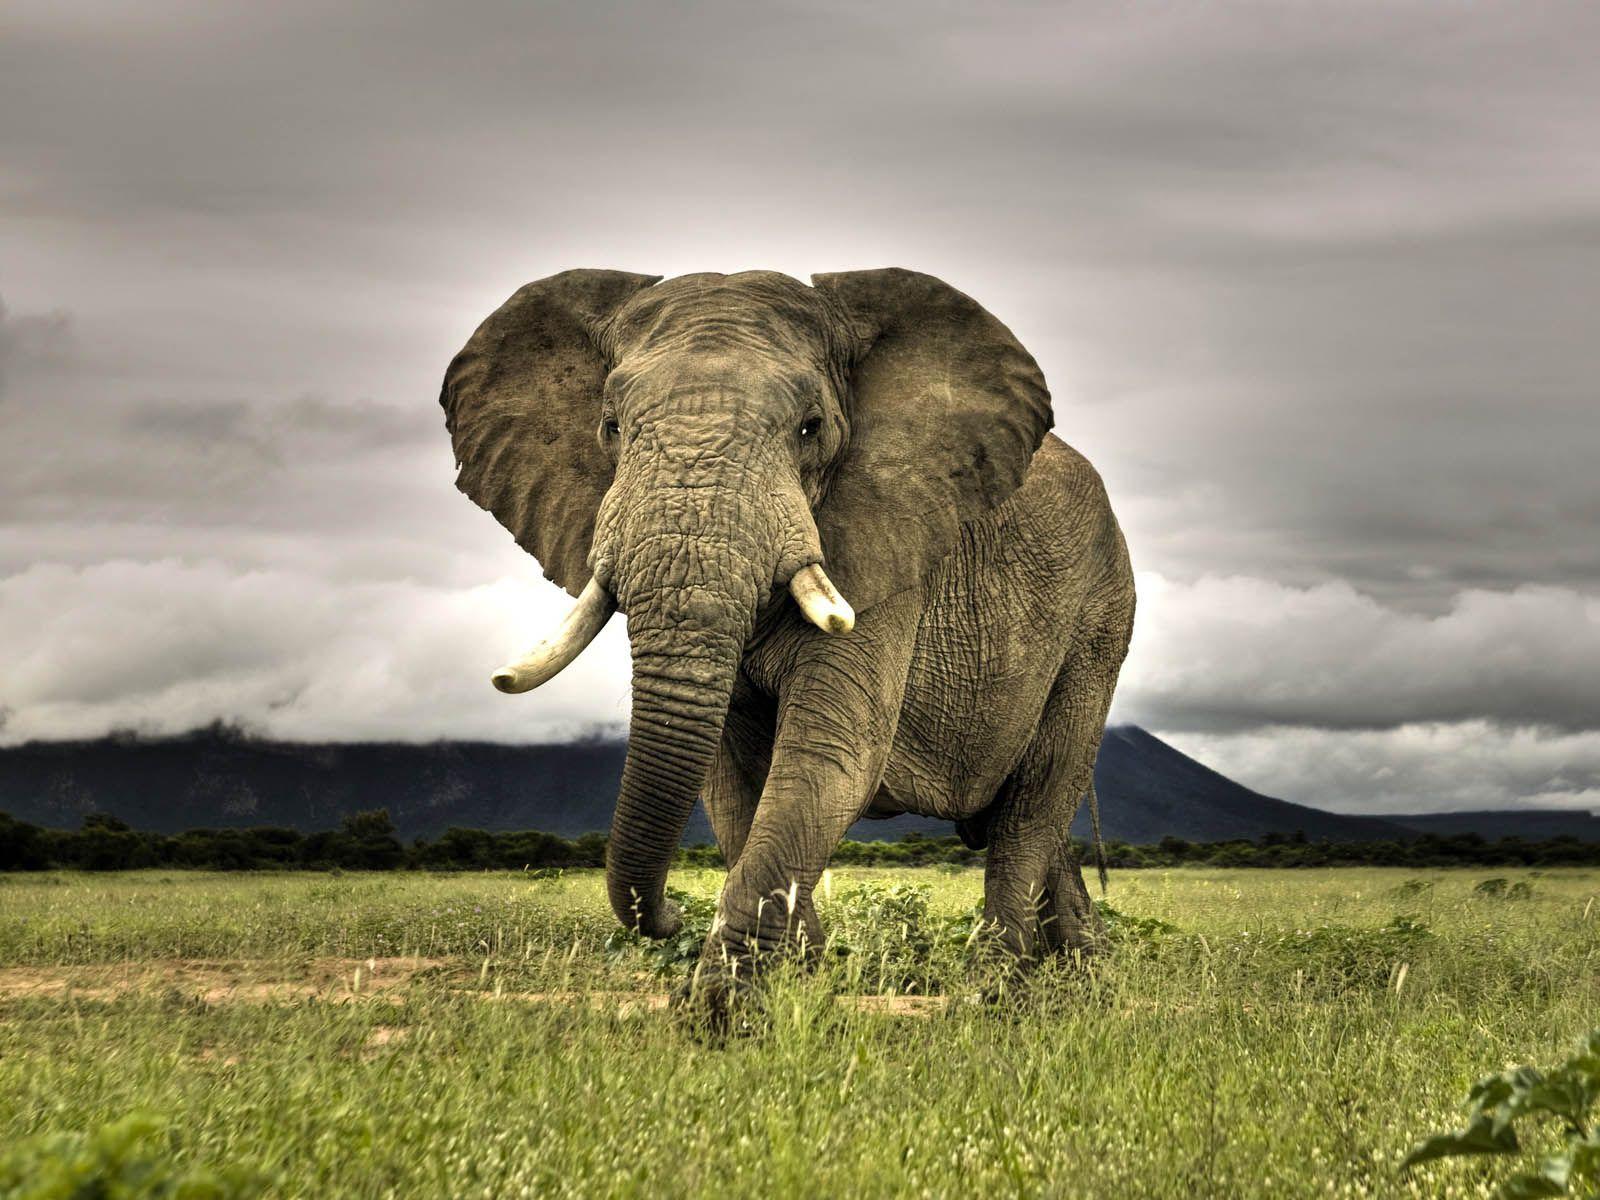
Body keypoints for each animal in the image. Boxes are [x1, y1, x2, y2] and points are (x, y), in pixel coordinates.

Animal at [440, 268, 1135, 998]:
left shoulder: (886, 546)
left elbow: (829, 756)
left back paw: (995, 992)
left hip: (1099, 619)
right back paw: (1082, 973)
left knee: (1034, 804)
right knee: (1027, 821)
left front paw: (724, 1009)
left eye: (811, 427)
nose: (665, 917)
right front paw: (802, 981)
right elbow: (731, 783)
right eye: (611, 426)